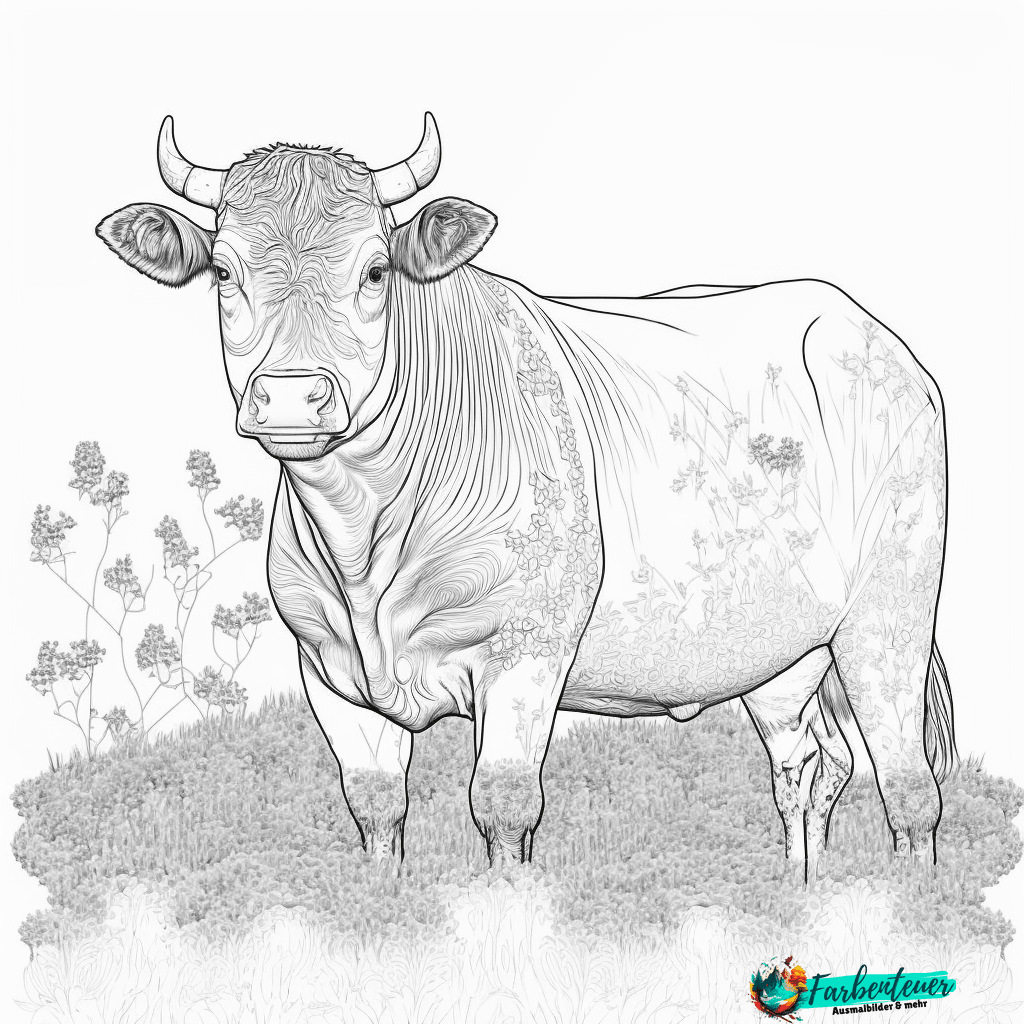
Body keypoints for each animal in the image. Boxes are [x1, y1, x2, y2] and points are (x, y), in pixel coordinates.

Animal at [96, 114, 956, 879]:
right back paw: (801, 888)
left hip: (890, 617)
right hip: (781, 653)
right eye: (224, 272)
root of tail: (862, 328)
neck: (363, 539)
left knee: (909, 786)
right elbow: (375, 808)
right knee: (810, 766)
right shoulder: (328, 670)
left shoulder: (527, 653)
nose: (289, 398)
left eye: (374, 271)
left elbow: (504, 807)